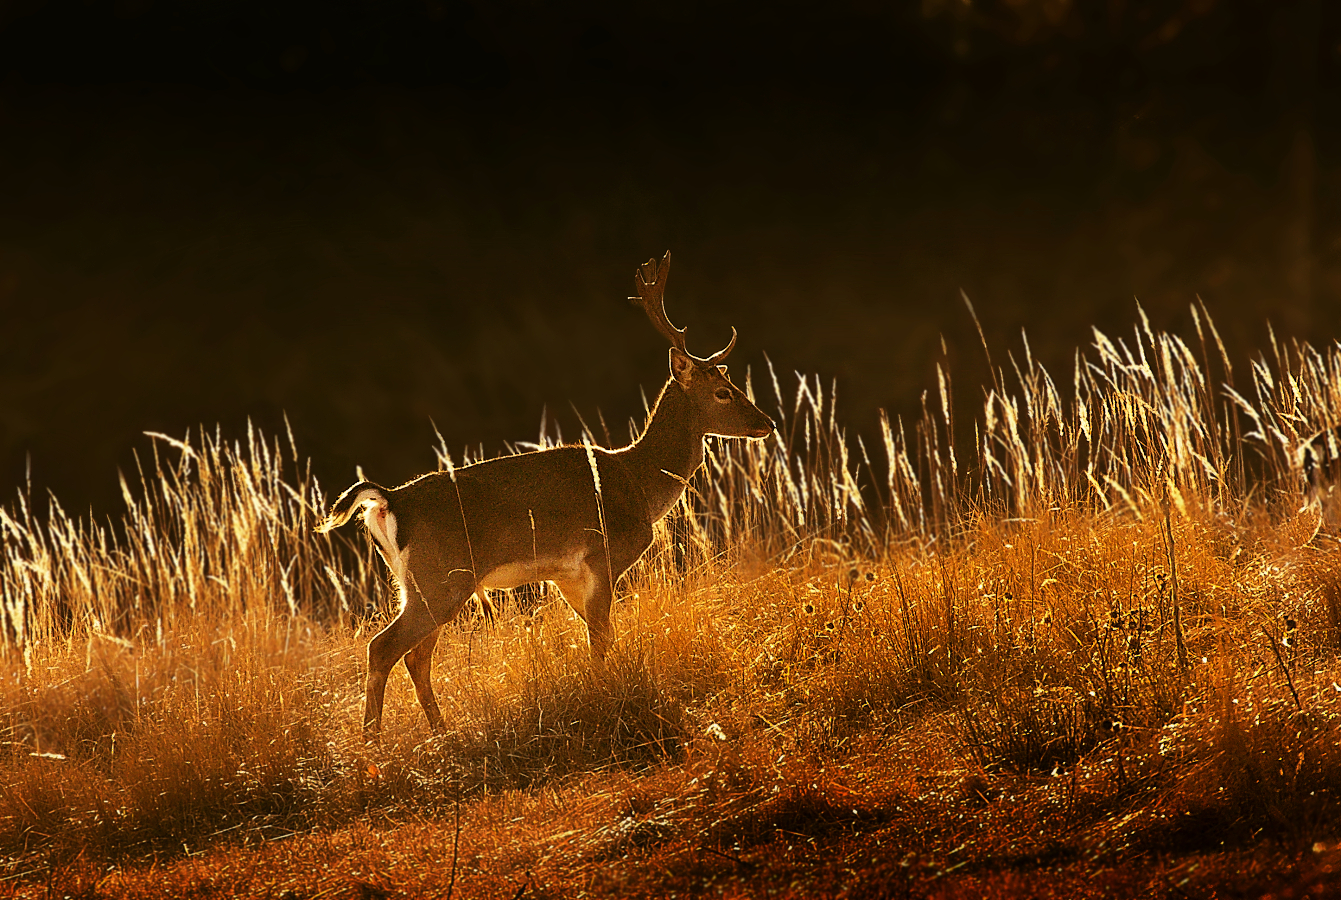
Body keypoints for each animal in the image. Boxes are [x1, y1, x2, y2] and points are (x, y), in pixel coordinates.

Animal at [316, 252, 777, 740]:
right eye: (724, 392)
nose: (767, 423)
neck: (638, 483)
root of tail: (390, 500)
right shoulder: (601, 555)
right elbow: (600, 637)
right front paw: (604, 698)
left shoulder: (565, 576)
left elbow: (600, 636)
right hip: (440, 578)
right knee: (384, 648)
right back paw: (373, 742)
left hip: (421, 583)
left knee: (415, 656)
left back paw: (441, 732)